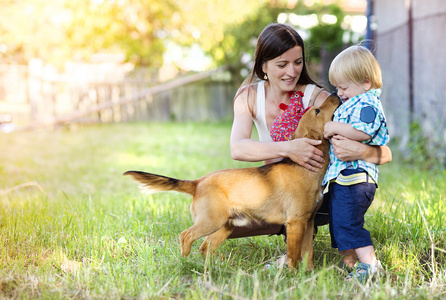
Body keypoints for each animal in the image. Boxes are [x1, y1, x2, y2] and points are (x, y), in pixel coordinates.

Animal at [123, 94, 340, 270]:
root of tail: (198, 183)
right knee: (186, 236)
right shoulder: (295, 223)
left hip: (225, 225)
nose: (335, 93)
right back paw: (185, 262)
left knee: (205, 246)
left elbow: (308, 253)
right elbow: (294, 256)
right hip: (211, 221)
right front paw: (292, 276)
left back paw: (215, 266)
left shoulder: (308, 222)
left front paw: (309, 274)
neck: (304, 168)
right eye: (317, 110)